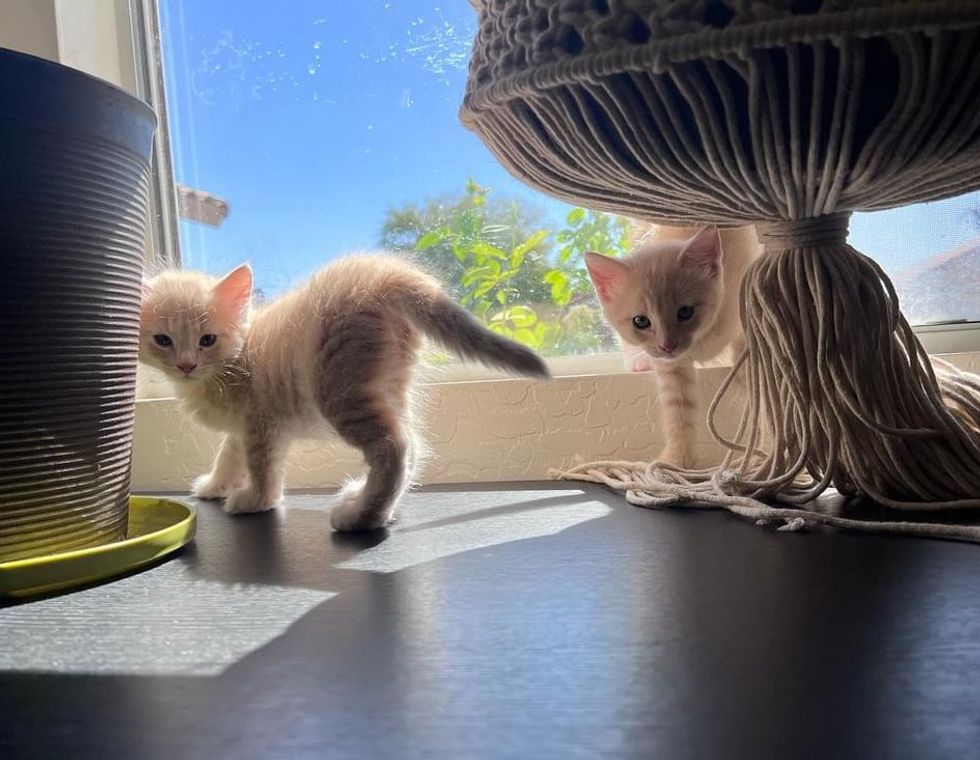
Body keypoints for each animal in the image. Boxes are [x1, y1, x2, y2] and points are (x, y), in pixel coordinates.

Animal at [139, 252, 552, 532]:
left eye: (207, 340)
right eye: (163, 340)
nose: (186, 365)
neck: (236, 359)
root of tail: (382, 273)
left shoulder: (262, 424)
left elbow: (261, 466)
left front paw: (257, 499)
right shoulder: (243, 427)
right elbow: (228, 455)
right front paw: (215, 485)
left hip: (338, 390)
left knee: (394, 446)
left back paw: (363, 517)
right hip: (388, 385)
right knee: (414, 444)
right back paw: (375, 505)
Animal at [584, 223, 760, 466]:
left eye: (685, 311)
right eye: (640, 321)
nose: (666, 345)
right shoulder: (672, 366)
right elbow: (679, 408)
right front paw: (677, 460)